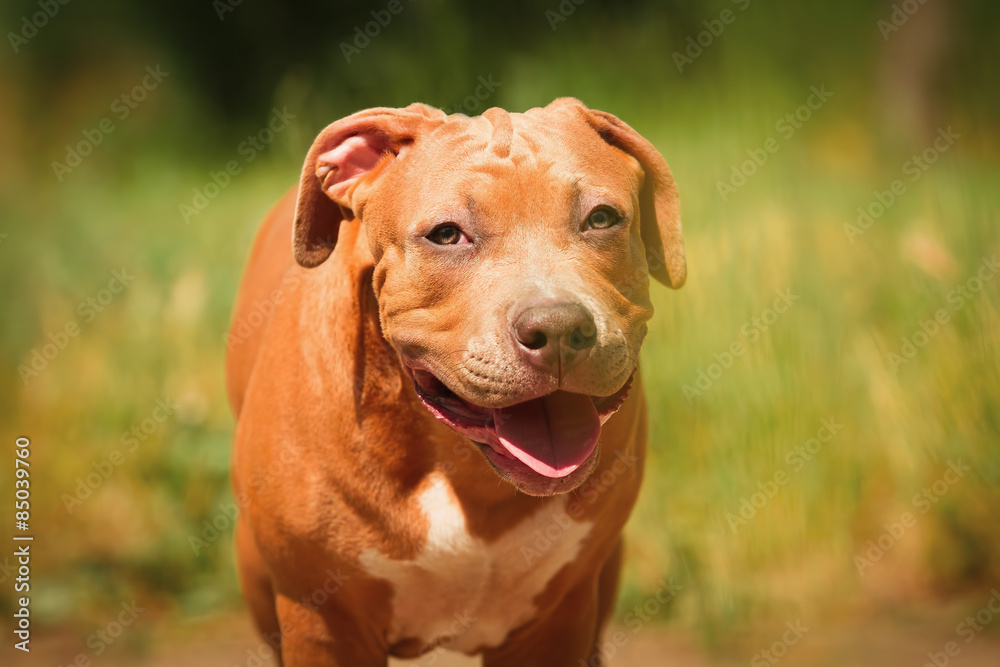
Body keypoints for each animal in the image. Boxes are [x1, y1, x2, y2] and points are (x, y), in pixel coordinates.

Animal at [227, 96, 684, 664]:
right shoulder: (325, 624)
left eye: (602, 219)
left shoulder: (556, 621)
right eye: (446, 234)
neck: (465, 470)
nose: (557, 328)